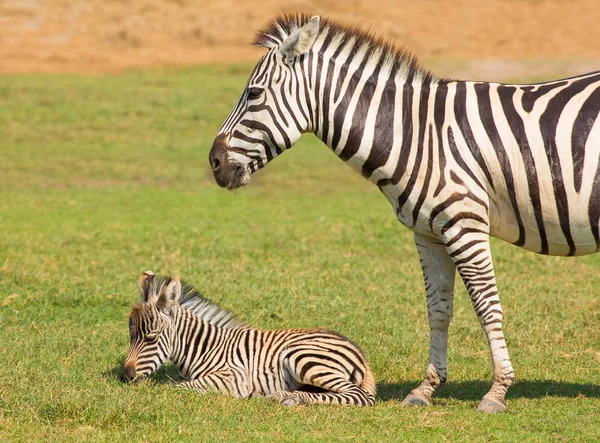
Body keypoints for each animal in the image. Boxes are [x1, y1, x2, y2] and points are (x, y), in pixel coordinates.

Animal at [120, 270, 376, 406]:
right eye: (131, 336)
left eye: (151, 338)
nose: (125, 377)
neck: (204, 348)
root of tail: (360, 353)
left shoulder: (233, 378)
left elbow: (178, 387)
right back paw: (287, 396)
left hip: (304, 357)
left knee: (359, 396)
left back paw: (285, 397)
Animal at [207, 14, 600, 416]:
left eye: (254, 94)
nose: (214, 163)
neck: (417, 136)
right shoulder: (428, 232)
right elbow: (438, 310)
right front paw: (426, 388)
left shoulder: (465, 225)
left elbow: (487, 307)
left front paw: (497, 391)